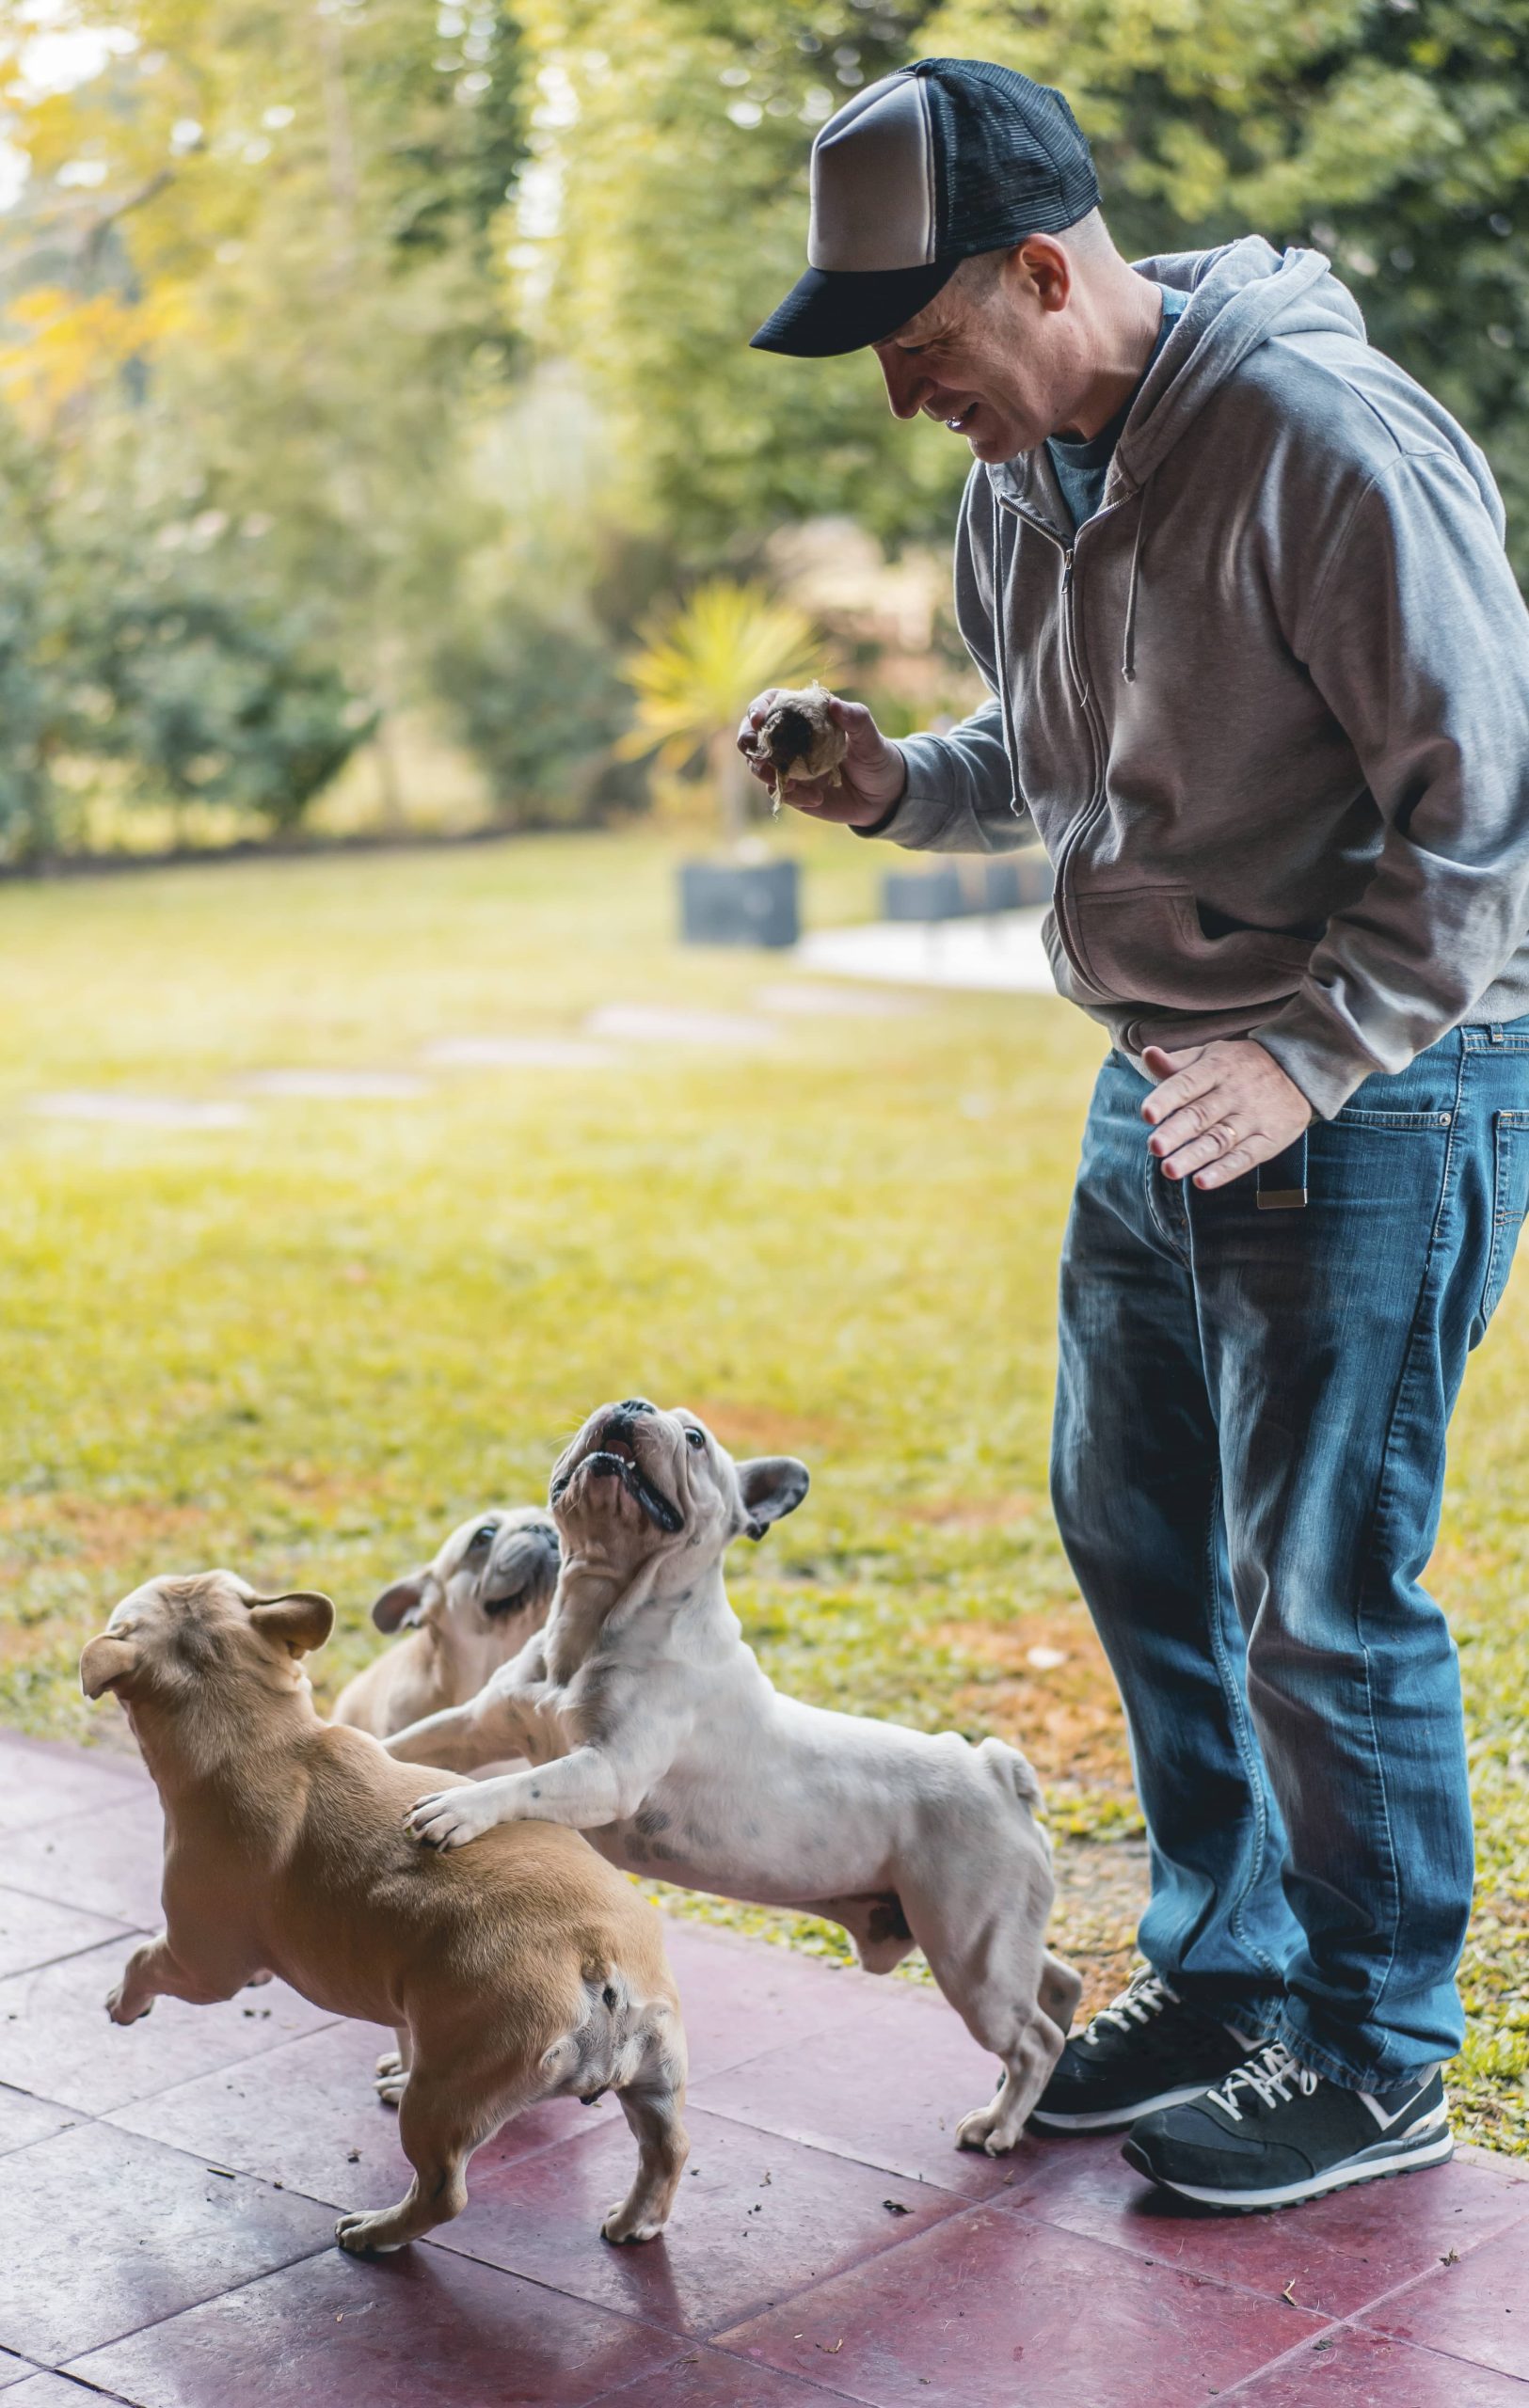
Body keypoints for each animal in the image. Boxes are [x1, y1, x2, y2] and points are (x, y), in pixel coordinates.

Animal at [77, 1579, 688, 2254]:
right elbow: (402, 2027)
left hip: (447, 2101)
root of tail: (595, 1958)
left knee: (443, 2191)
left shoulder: (202, 1963)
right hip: (655, 2072)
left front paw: (122, 2000)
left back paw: (376, 2232)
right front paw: (399, 2061)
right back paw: (635, 2220)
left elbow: (145, 1956)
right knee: (666, 2148)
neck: (259, 1732)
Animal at [388, 1406, 1083, 2157]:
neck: (600, 1607)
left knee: (1032, 2039)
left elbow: (525, 1785)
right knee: (1056, 1982)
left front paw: (458, 1807)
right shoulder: (479, 1723)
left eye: (694, 1439)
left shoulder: (607, 1771)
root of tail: (995, 1770)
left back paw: (1000, 2123)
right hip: (996, 1939)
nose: (632, 1406)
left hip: (968, 1955)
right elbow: (411, 1741)